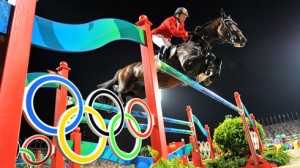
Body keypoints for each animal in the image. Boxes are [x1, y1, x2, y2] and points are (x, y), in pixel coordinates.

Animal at [96, 9, 246, 103]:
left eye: (236, 24)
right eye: (229, 24)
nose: (242, 40)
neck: (198, 44)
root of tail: (123, 69)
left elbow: (216, 59)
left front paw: (209, 76)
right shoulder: (187, 65)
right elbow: (210, 56)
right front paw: (208, 73)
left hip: (139, 91)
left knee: (127, 94)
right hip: (126, 83)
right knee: (118, 90)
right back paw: (118, 101)